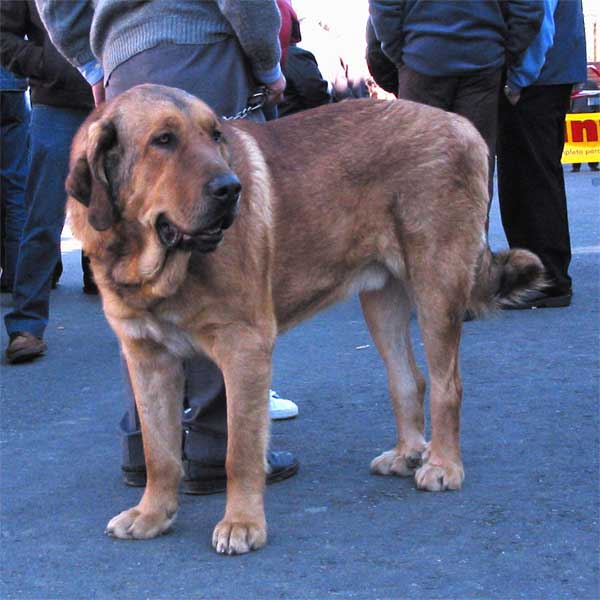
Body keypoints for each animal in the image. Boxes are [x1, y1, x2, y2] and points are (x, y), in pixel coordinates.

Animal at [65, 83, 544, 552]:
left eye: (215, 136)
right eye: (163, 141)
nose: (230, 188)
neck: (152, 264)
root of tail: (461, 125)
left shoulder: (244, 348)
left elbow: (240, 451)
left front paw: (242, 523)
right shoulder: (147, 358)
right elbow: (158, 450)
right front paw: (152, 515)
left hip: (435, 288)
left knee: (447, 385)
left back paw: (444, 464)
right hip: (382, 299)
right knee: (409, 379)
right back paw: (407, 452)